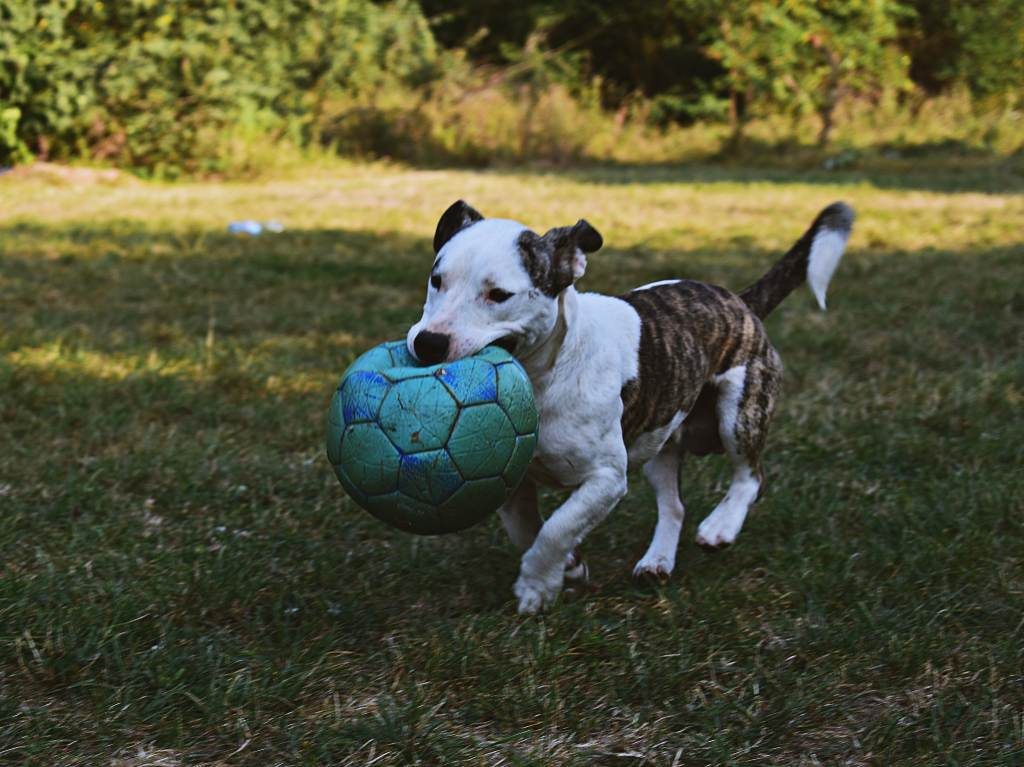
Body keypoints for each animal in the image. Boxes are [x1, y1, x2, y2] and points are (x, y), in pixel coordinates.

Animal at [403, 200, 851, 614]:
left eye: (499, 295)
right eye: (436, 279)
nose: (429, 343)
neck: (544, 376)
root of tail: (739, 302)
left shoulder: (606, 478)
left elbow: (557, 528)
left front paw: (537, 587)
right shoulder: (506, 478)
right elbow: (526, 529)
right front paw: (569, 566)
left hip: (740, 411)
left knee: (751, 474)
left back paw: (720, 527)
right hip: (660, 440)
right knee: (674, 504)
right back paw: (657, 561)